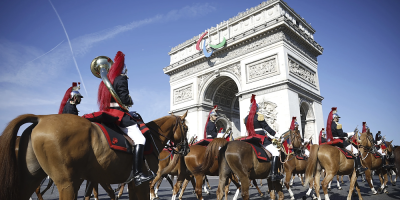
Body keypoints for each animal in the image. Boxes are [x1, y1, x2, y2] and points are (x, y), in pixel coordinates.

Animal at [0, 112, 190, 200]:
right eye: (186, 128)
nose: (187, 150)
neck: (150, 137)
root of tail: (41, 117)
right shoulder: (142, 184)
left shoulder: (129, 184)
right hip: (67, 183)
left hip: (31, 179)